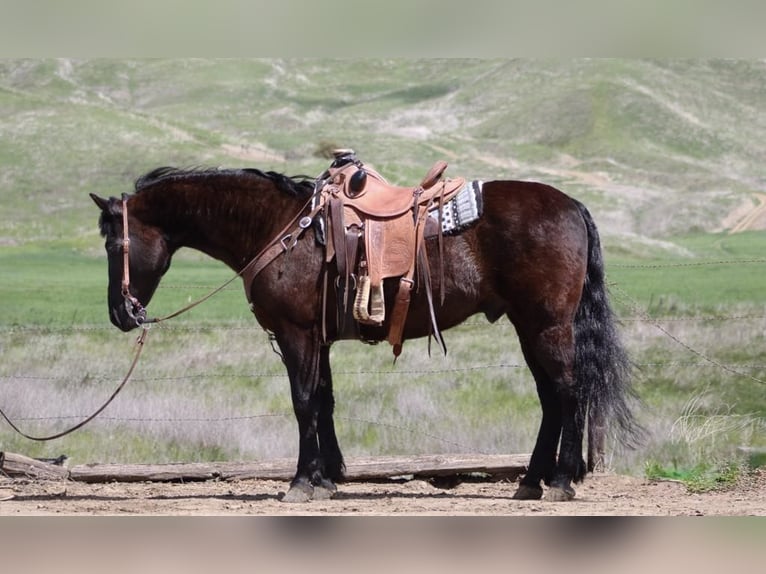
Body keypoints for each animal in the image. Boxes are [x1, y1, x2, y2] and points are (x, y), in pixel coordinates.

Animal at [90, 163, 640, 503]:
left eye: (114, 243)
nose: (120, 313)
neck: (278, 227)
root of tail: (571, 206)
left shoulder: (296, 334)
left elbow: (303, 402)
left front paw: (301, 482)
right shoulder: (317, 338)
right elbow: (323, 400)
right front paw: (327, 478)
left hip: (547, 325)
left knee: (568, 391)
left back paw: (562, 480)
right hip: (529, 326)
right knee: (550, 397)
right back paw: (530, 481)